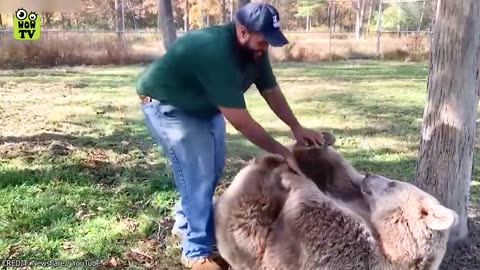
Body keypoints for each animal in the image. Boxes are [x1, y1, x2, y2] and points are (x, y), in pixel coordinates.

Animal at [213, 138, 458, 268]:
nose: (369, 176)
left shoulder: (354, 256)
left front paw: (297, 179)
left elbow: (322, 217)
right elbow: (342, 179)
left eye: (392, 184)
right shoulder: (357, 201)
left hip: (246, 231)